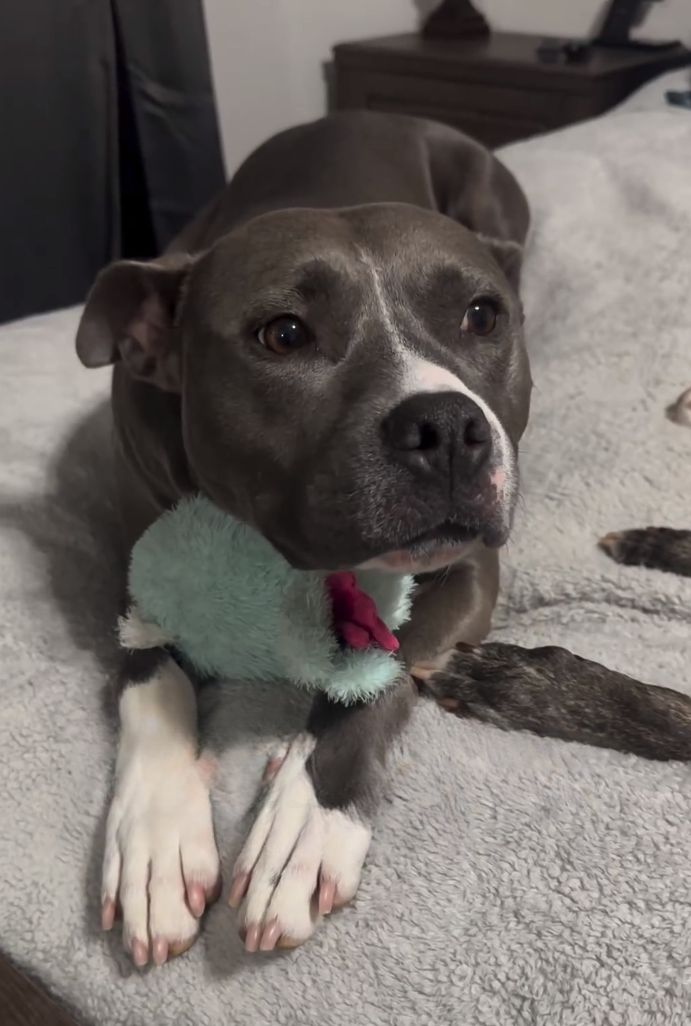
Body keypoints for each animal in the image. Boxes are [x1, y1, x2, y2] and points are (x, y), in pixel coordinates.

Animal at [77, 116, 691, 964]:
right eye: (282, 334)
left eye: (481, 316)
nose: (447, 427)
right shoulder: (135, 577)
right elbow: (151, 684)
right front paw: (156, 841)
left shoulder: (466, 573)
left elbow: (378, 678)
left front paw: (303, 823)